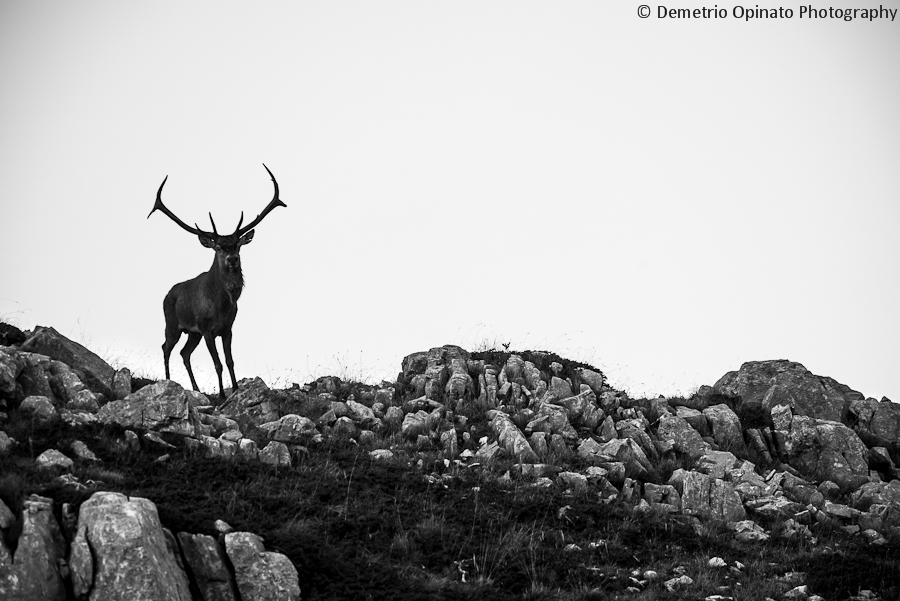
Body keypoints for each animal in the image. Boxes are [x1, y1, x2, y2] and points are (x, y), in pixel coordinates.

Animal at [148, 162, 286, 400]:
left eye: (237, 245)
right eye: (219, 247)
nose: (232, 259)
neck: (221, 305)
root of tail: (167, 294)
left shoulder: (227, 328)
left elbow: (230, 361)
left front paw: (236, 390)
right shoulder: (206, 329)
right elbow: (218, 363)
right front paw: (222, 395)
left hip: (192, 333)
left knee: (184, 353)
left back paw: (195, 388)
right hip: (172, 322)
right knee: (166, 347)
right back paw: (168, 381)